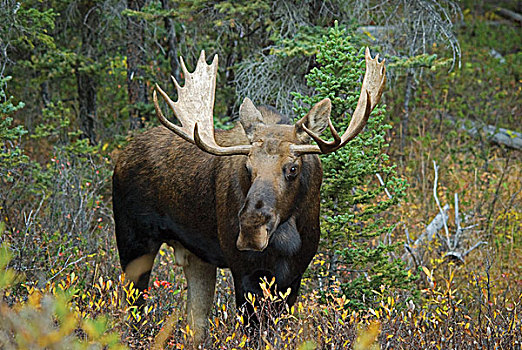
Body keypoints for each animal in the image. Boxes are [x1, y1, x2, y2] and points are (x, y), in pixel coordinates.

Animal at [111, 47, 384, 340]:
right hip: (134, 242)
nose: (252, 229)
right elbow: (252, 330)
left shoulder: (295, 272)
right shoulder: (243, 268)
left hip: (197, 258)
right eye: (247, 166)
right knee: (134, 309)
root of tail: (121, 158)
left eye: (293, 168)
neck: (286, 237)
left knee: (195, 323)